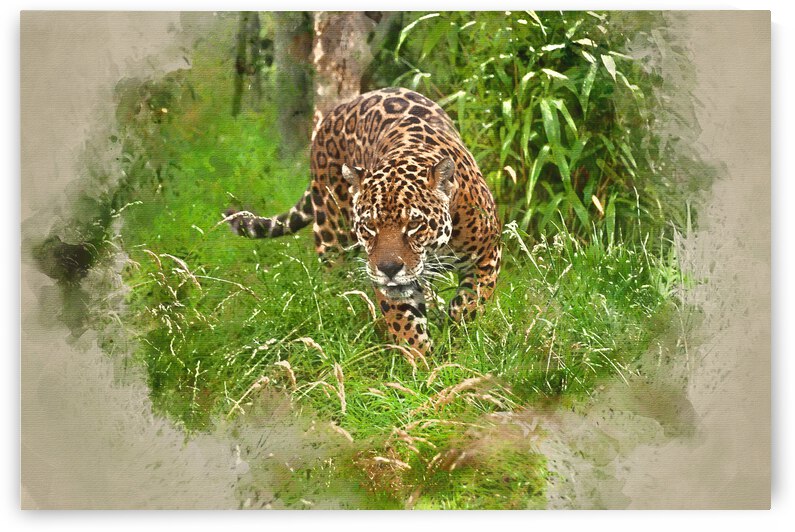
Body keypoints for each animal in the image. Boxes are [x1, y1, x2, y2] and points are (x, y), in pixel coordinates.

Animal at [225, 87, 502, 354]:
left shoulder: (488, 254)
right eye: (370, 226)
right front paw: (425, 364)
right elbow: (408, 329)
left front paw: (458, 334)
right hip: (332, 234)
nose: (389, 269)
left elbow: (471, 303)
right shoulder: (386, 283)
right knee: (336, 287)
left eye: (414, 225)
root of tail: (337, 110)